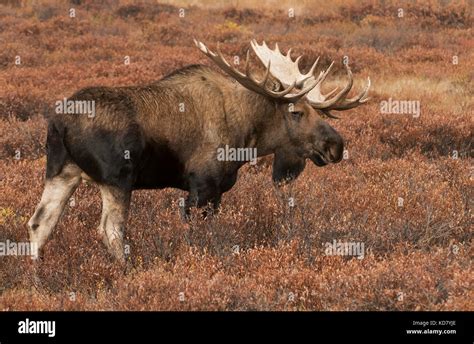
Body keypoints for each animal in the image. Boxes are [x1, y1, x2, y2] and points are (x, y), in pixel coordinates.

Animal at [28, 39, 370, 262]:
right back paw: (127, 270)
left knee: (39, 223)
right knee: (109, 230)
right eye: (296, 112)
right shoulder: (203, 186)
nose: (336, 145)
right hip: (117, 179)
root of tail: (59, 123)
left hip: (62, 172)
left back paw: (37, 276)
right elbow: (200, 236)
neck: (247, 136)